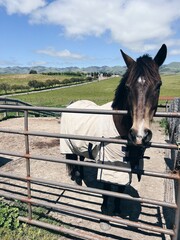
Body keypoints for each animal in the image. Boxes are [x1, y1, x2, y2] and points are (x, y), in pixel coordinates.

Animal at [60, 43, 167, 229]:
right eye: (128, 87)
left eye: (158, 85)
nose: (139, 135)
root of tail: (72, 103)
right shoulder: (107, 164)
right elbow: (107, 189)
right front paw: (104, 215)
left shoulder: (125, 165)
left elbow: (120, 190)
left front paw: (117, 210)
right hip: (68, 144)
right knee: (73, 159)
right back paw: (76, 178)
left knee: (81, 158)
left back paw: (81, 176)